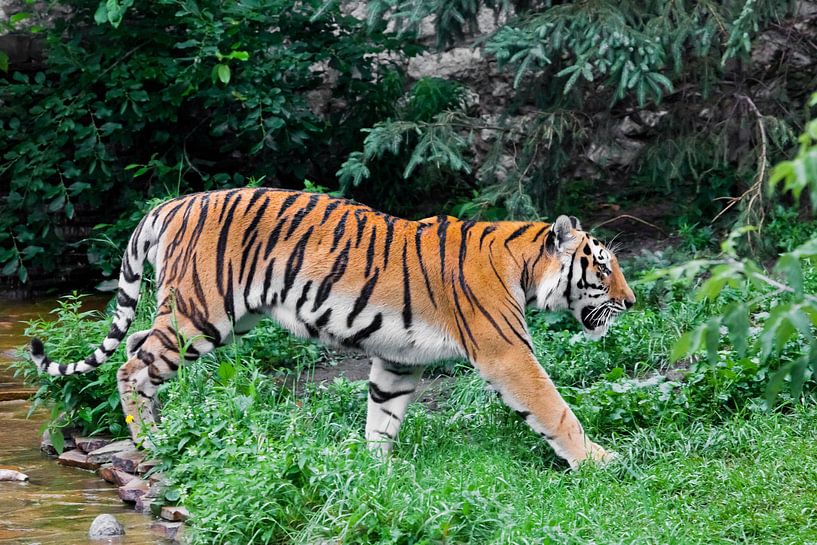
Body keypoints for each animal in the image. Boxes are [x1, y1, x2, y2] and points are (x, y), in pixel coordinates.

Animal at [30, 188, 635, 469]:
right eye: (603, 267)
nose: (631, 303)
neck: (525, 266)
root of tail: (169, 206)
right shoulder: (507, 353)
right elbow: (555, 409)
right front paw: (598, 461)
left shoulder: (397, 359)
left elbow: (382, 416)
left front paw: (376, 468)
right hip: (200, 313)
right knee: (132, 364)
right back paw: (149, 438)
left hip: (212, 318)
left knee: (134, 345)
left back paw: (160, 429)